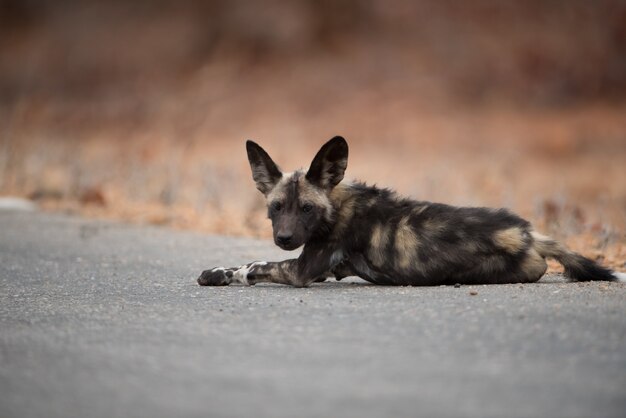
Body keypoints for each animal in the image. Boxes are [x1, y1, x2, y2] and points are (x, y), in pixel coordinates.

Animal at [197, 136, 620, 288]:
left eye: (307, 208)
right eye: (276, 207)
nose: (284, 237)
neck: (340, 206)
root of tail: (528, 233)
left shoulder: (301, 271)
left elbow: (255, 264)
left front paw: (230, 273)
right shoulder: (324, 269)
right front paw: (214, 273)